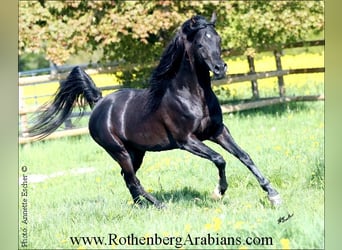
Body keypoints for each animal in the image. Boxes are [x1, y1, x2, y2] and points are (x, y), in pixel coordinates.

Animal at [28, 14, 280, 208]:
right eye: (200, 44)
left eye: (218, 39)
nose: (220, 68)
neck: (192, 97)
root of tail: (99, 104)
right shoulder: (187, 141)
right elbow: (220, 159)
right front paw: (218, 192)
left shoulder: (217, 131)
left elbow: (244, 155)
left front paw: (273, 194)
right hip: (119, 151)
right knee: (132, 179)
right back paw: (159, 204)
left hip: (136, 152)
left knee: (128, 178)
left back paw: (141, 206)